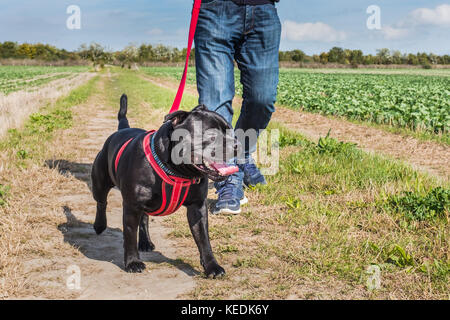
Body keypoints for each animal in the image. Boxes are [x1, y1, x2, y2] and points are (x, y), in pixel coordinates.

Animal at [92, 94, 239, 276]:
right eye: (211, 135)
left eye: (230, 130)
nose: (237, 144)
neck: (176, 172)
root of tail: (122, 129)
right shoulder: (132, 207)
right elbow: (130, 234)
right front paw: (133, 262)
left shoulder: (197, 208)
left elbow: (204, 240)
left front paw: (212, 266)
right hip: (100, 182)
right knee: (101, 202)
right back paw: (99, 225)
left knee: (144, 218)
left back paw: (145, 242)